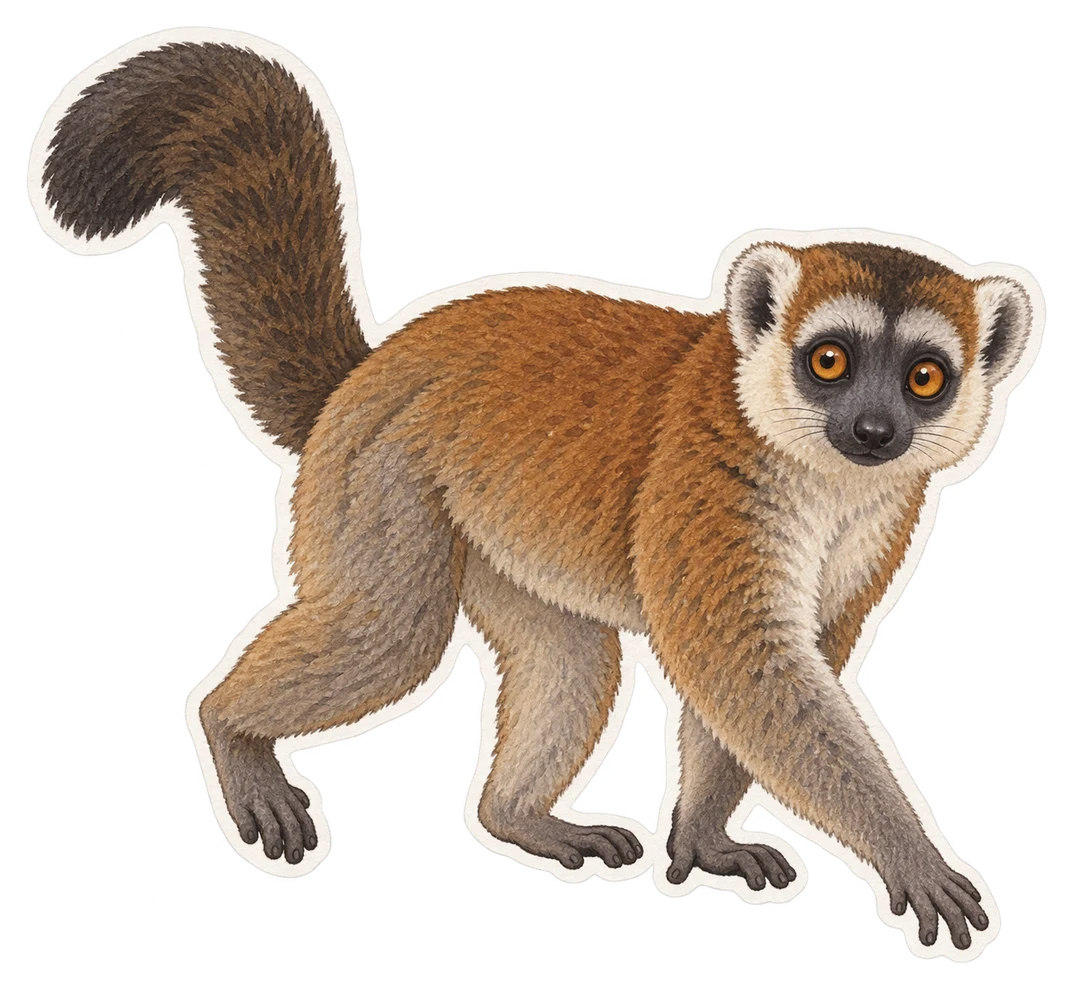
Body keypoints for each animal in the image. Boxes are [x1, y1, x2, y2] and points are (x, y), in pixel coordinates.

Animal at [28, 31, 1041, 954]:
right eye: (829, 362)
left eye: (923, 379)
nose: (874, 430)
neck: (820, 476)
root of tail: (365, 377)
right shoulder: (707, 478)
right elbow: (743, 664)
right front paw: (909, 852)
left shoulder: (884, 516)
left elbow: (784, 664)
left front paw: (704, 835)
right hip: (381, 478)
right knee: (390, 632)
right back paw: (232, 732)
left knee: (569, 656)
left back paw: (519, 816)